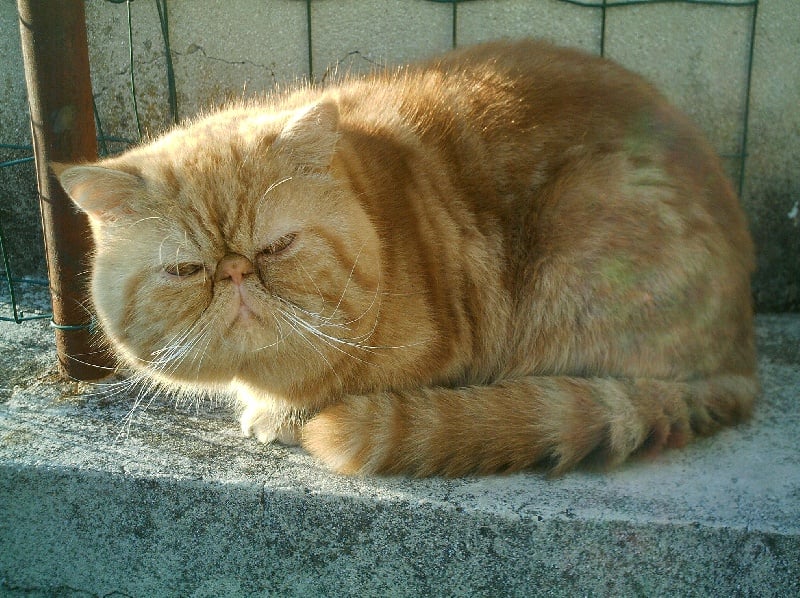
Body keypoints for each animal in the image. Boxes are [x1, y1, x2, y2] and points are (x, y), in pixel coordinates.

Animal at [54, 39, 756, 476]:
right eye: (187, 270)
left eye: (277, 248)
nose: (235, 271)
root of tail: (741, 356)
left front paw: (277, 416)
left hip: (585, 223)